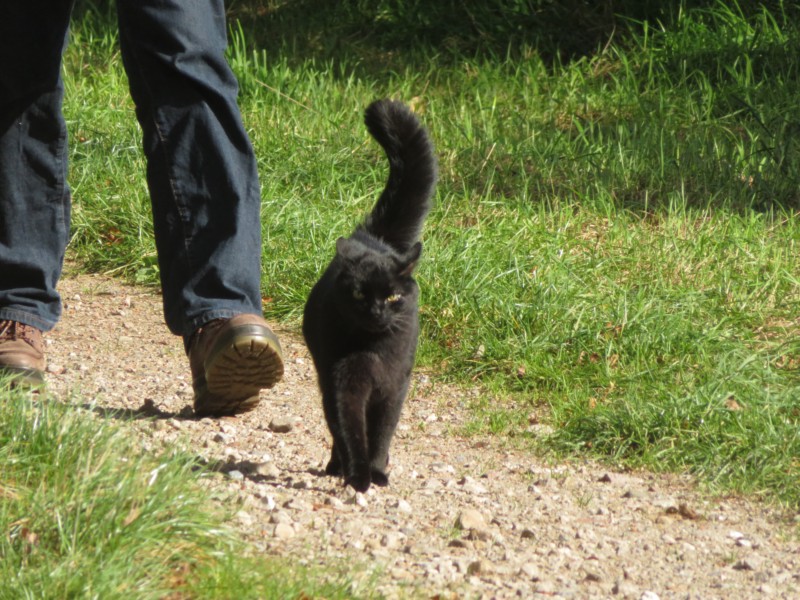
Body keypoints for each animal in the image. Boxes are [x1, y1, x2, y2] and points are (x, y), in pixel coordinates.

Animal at [302, 98, 438, 492]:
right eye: (361, 294)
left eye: (392, 297)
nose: (378, 312)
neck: (374, 352)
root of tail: (373, 238)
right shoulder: (342, 385)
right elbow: (349, 430)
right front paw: (358, 475)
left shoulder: (394, 388)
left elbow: (381, 433)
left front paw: (377, 471)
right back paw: (336, 465)